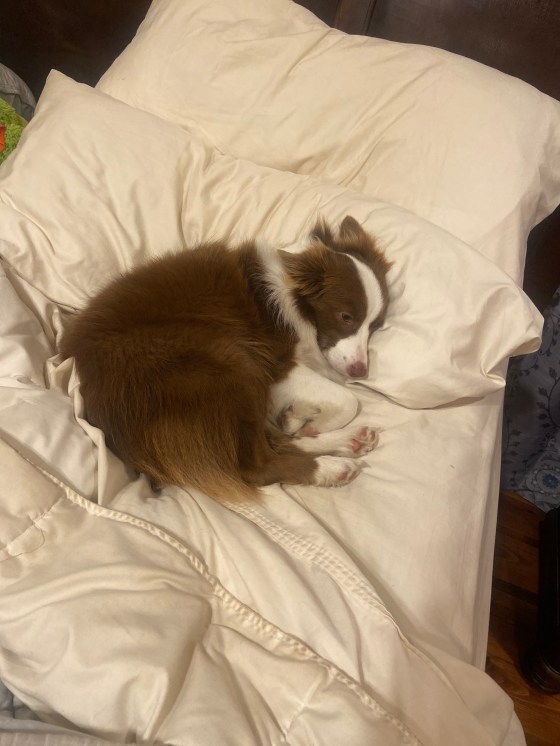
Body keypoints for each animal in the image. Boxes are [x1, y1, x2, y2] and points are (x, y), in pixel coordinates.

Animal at [61, 216, 391, 501]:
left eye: (375, 324)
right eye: (346, 317)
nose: (360, 371)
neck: (294, 293)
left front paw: (297, 416)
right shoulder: (277, 361)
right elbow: (348, 399)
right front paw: (314, 422)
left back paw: (349, 440)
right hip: (227, 357)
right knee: (256, 464)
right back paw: (330, 467)